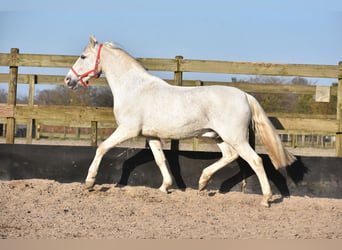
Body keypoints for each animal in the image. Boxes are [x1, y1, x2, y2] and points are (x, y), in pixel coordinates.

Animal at [65, 35, 296, 207]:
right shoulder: (151, 136)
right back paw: (202, 182)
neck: (134, 88)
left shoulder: (128, 129)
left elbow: (102, 147)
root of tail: (245, 95)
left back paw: (266, 199)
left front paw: (89, 182)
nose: (68, 80)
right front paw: (165, 187)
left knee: (255, 160)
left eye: (83, 56)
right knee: (230, 156)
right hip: (220, 136)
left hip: (235, 137)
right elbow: (160, 160)